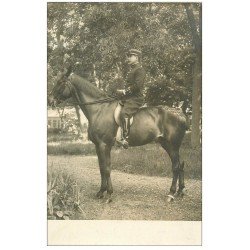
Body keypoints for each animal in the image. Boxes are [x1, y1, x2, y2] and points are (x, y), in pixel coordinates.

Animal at [48, 68, 188, 203]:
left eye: (60, 82)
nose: (50, 101)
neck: (99, 109)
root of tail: (180, 113)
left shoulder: (104, 145)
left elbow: (106, 168)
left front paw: (109, 194)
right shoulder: (98, 146)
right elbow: (101, 168)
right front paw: (101, 192)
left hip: (172, 145)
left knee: (176, 167)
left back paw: (171, 194)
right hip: (167, 144)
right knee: (180, 165)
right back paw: (180, 191)